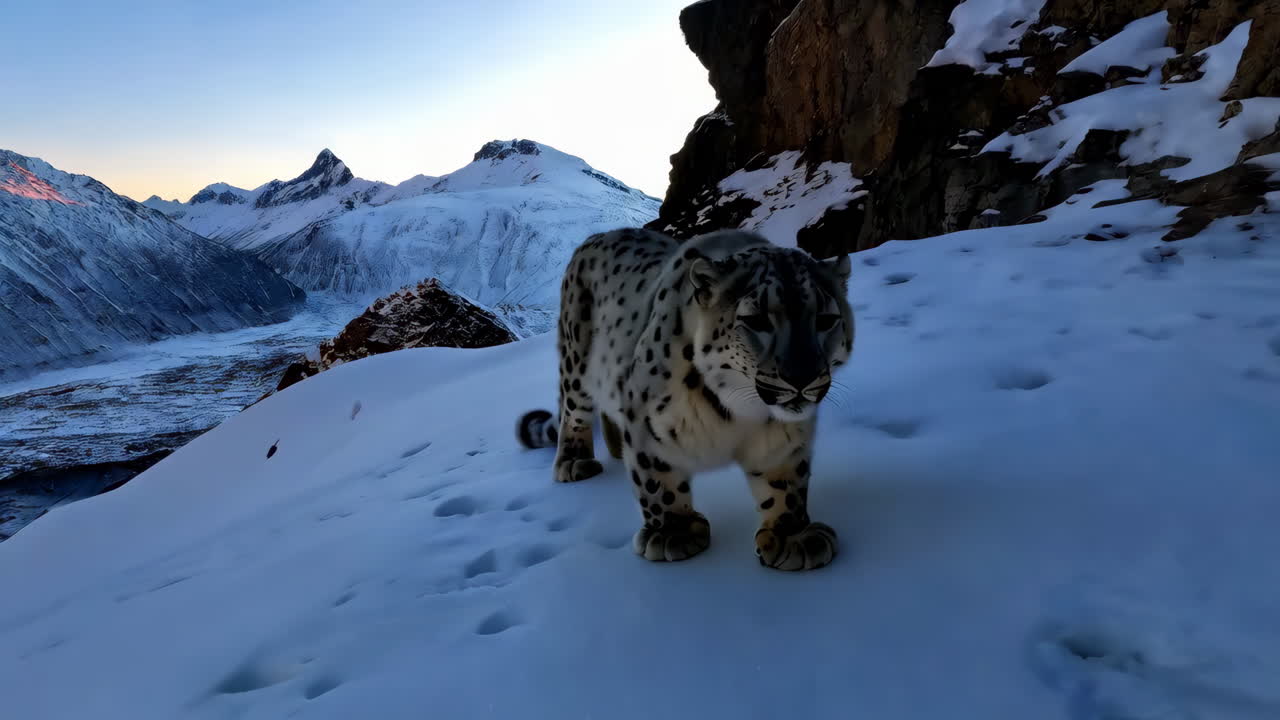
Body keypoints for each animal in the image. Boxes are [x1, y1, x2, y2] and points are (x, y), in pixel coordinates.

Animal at [517, 227, 854, 570]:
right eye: (756, 320)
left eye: (826, 319)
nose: (801, 377)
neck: (741, 411)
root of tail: (597, 235)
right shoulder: (645, 424)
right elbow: (657, 479)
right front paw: (673, 533)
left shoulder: (783, 437)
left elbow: (786, 482)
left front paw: (792, 535)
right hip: (576, 361)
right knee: (573, 412)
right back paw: (575, 462)